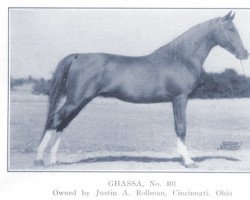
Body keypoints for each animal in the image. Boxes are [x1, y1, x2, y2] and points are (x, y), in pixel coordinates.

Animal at [33, 10, 248, 167]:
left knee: (62, 124)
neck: (180, 58)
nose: (244, 53)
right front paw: (188, 161)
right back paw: (39, 160)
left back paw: (54, 160)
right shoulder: (179, 98)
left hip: (80, 102)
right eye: (230, 29)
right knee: (54, 121)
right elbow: (181, 127)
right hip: (75, 101)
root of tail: (78, 56)